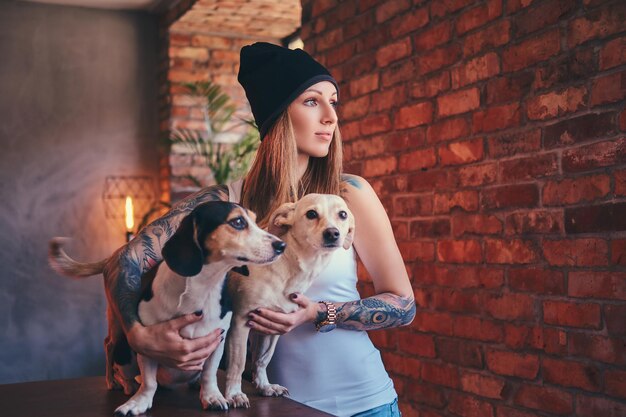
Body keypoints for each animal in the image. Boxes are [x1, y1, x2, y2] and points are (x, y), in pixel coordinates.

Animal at [50, 201, 284, 412]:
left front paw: (212, 397)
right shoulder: (149, 344)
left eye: (255, 221)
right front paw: (139, 402)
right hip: (122, 342)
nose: (282, 246)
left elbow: (209, 374)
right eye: (237, 222)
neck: (203, 288)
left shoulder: (218, 339)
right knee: (113, 352)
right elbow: (149, 382)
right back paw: (122, 383)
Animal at [223, 193, 352, 408]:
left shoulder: (272, 326)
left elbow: (263, 359)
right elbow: (238, 363)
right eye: (311, 214)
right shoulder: (240, 322)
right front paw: (234, 394)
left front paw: (265, 386)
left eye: (342, 214)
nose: (333, 233)